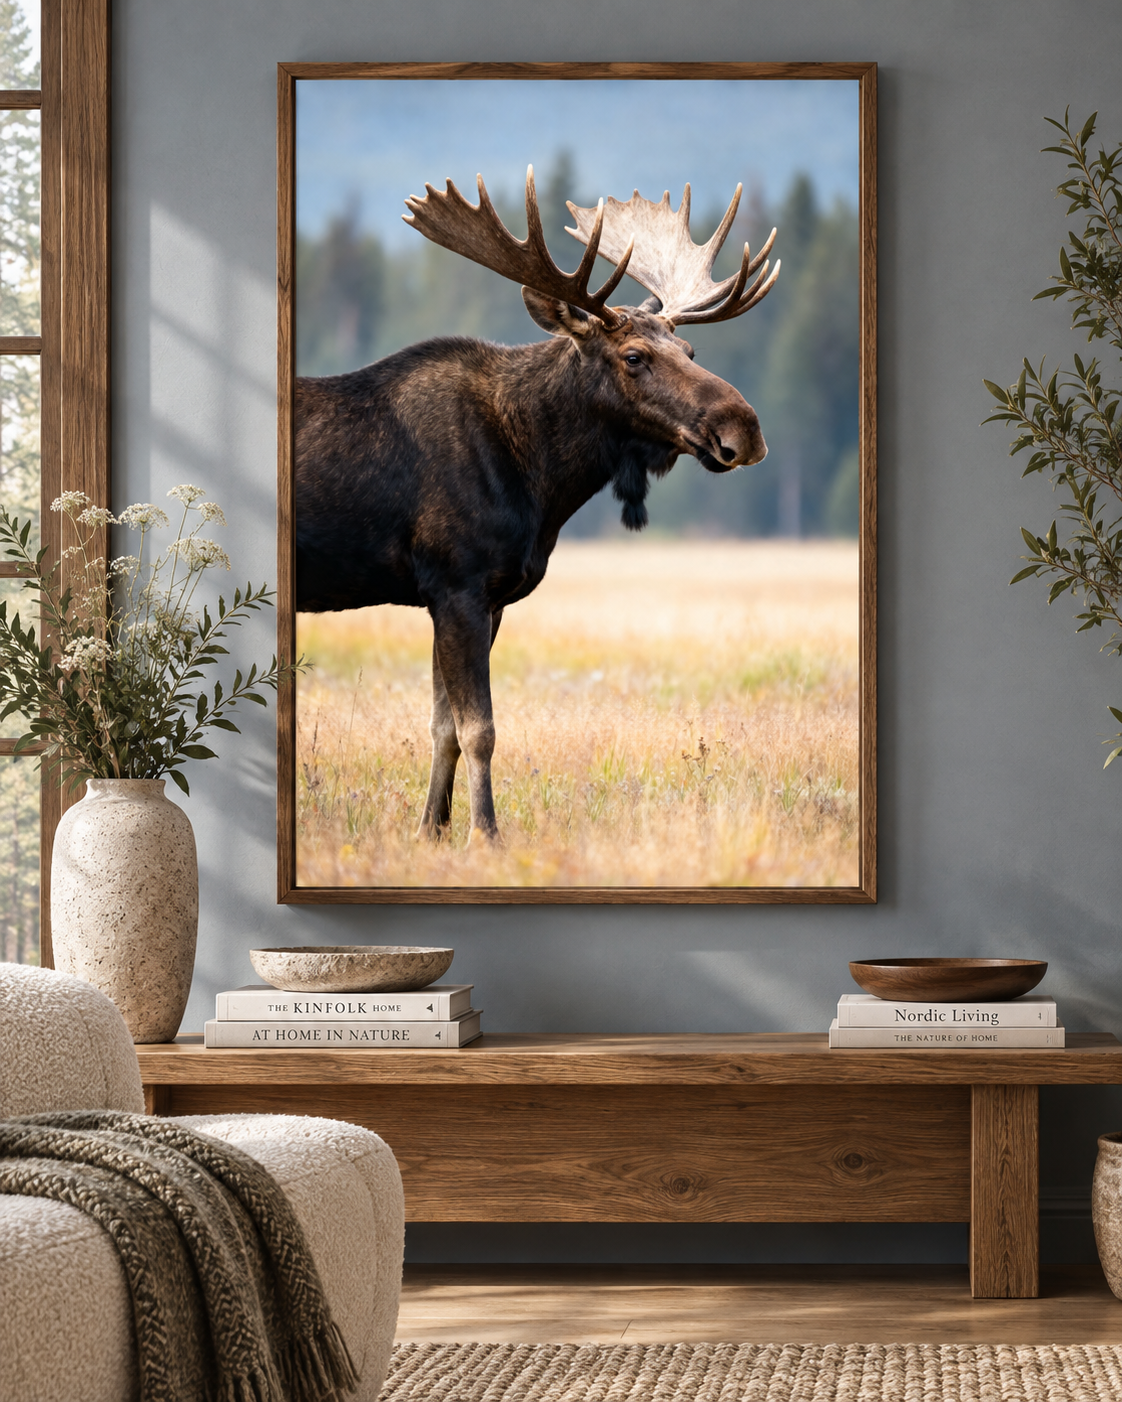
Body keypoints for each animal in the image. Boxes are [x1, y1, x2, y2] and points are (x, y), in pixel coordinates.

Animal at [294, 168, 780, 842]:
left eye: (691, 355)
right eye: (634, 357)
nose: (745, 428)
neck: (540, 481)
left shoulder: (479, 598)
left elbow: (443, 729)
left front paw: (431, 831)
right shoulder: (458, 586)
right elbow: (479, 730)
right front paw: (486, 835)